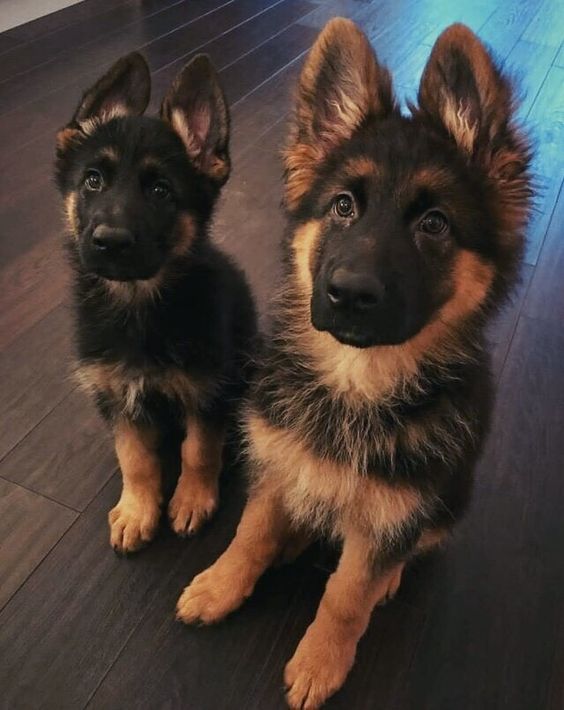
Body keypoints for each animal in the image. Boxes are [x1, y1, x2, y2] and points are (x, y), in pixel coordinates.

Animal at [54, 54, 256, 556]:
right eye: (93, 181)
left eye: (161, 191)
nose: (109, 242)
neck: (139, 305)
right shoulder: (114, 393)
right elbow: (135, 456)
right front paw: (136, 510)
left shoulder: (208, 390)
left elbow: (198, 449)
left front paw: (193, 498)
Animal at [174, 19, 532, 708]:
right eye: (343, 206)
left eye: (434, 224)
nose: (349, 293)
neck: (355, 381)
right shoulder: (277, 462)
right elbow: (249, 533)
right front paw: (221, 584)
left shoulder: (392, 516)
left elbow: (347, 593)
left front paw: (321, 660)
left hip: (449, 498)